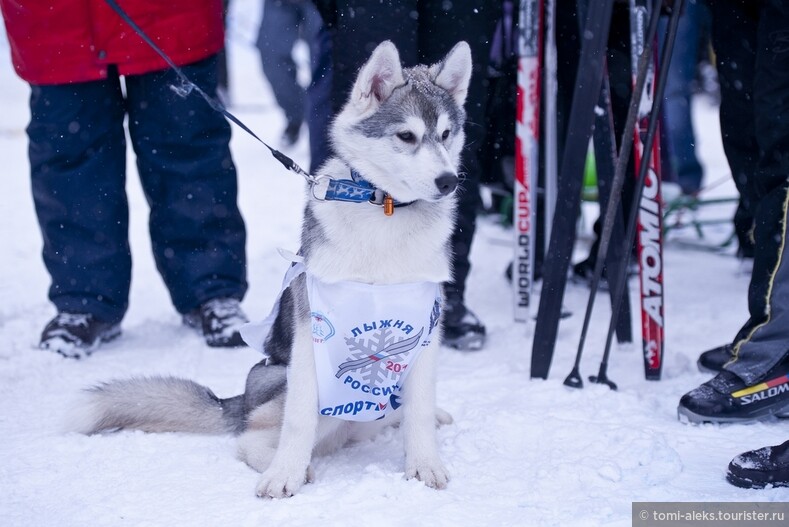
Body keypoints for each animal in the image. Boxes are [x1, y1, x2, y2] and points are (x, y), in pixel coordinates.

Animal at [71, 41, 470, 500]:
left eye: (446, 134)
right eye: (407, 136)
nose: (448, 181)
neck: (384, 210)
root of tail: (241, 401)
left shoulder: (426, 327)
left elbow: (418, 413)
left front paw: (424, 464)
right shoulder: (312, 335)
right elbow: (298, 419)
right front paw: (285, 475)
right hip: (283, 384)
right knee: (253, 437)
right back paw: (293, 464)